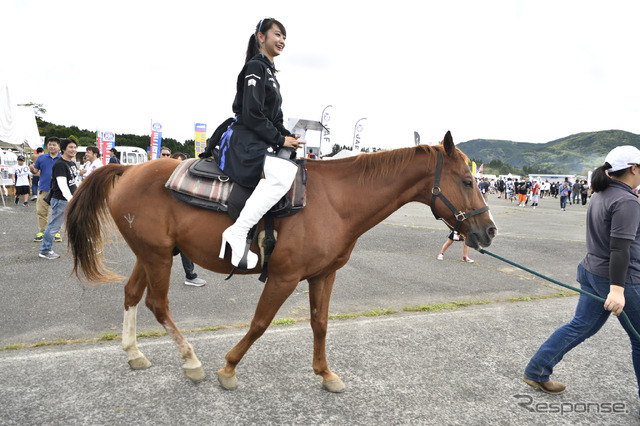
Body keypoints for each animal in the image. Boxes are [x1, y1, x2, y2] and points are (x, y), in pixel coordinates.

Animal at [65, 131, 498, 392]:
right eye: (467, 181)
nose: (489, 230)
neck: (335, 201)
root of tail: (128, 170)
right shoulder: (284, 277)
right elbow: (259, 323)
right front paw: (228, 368)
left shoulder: (323, 275)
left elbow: (320, 324)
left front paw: (325, 373)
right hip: (157, 257)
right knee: (157, 303)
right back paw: (191, 361)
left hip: (152, 253)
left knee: (131, 294)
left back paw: (134, 353)